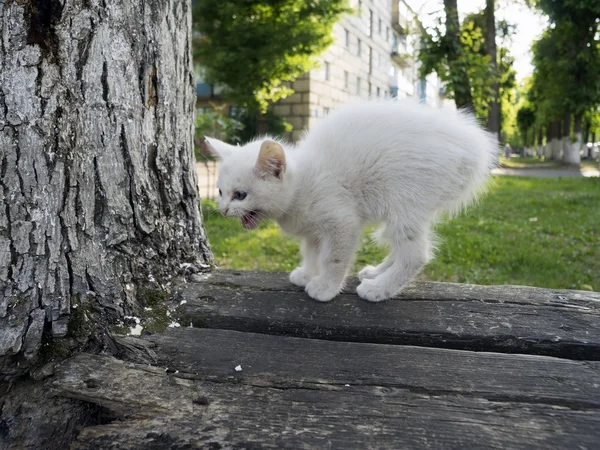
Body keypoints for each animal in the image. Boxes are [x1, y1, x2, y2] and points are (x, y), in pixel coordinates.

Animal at [206, 99, 496, 302]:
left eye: (240, 195)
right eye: (220, 192)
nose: (223, 210)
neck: (302, 184)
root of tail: (473, 145)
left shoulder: (341, 221)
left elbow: (333, 258)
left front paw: (325, 287)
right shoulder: (313, 229)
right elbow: (312, 252)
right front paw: (308, 273)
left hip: (405, 197)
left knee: (415, 254)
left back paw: (379, 289)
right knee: (401, 246)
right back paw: (377, 272)